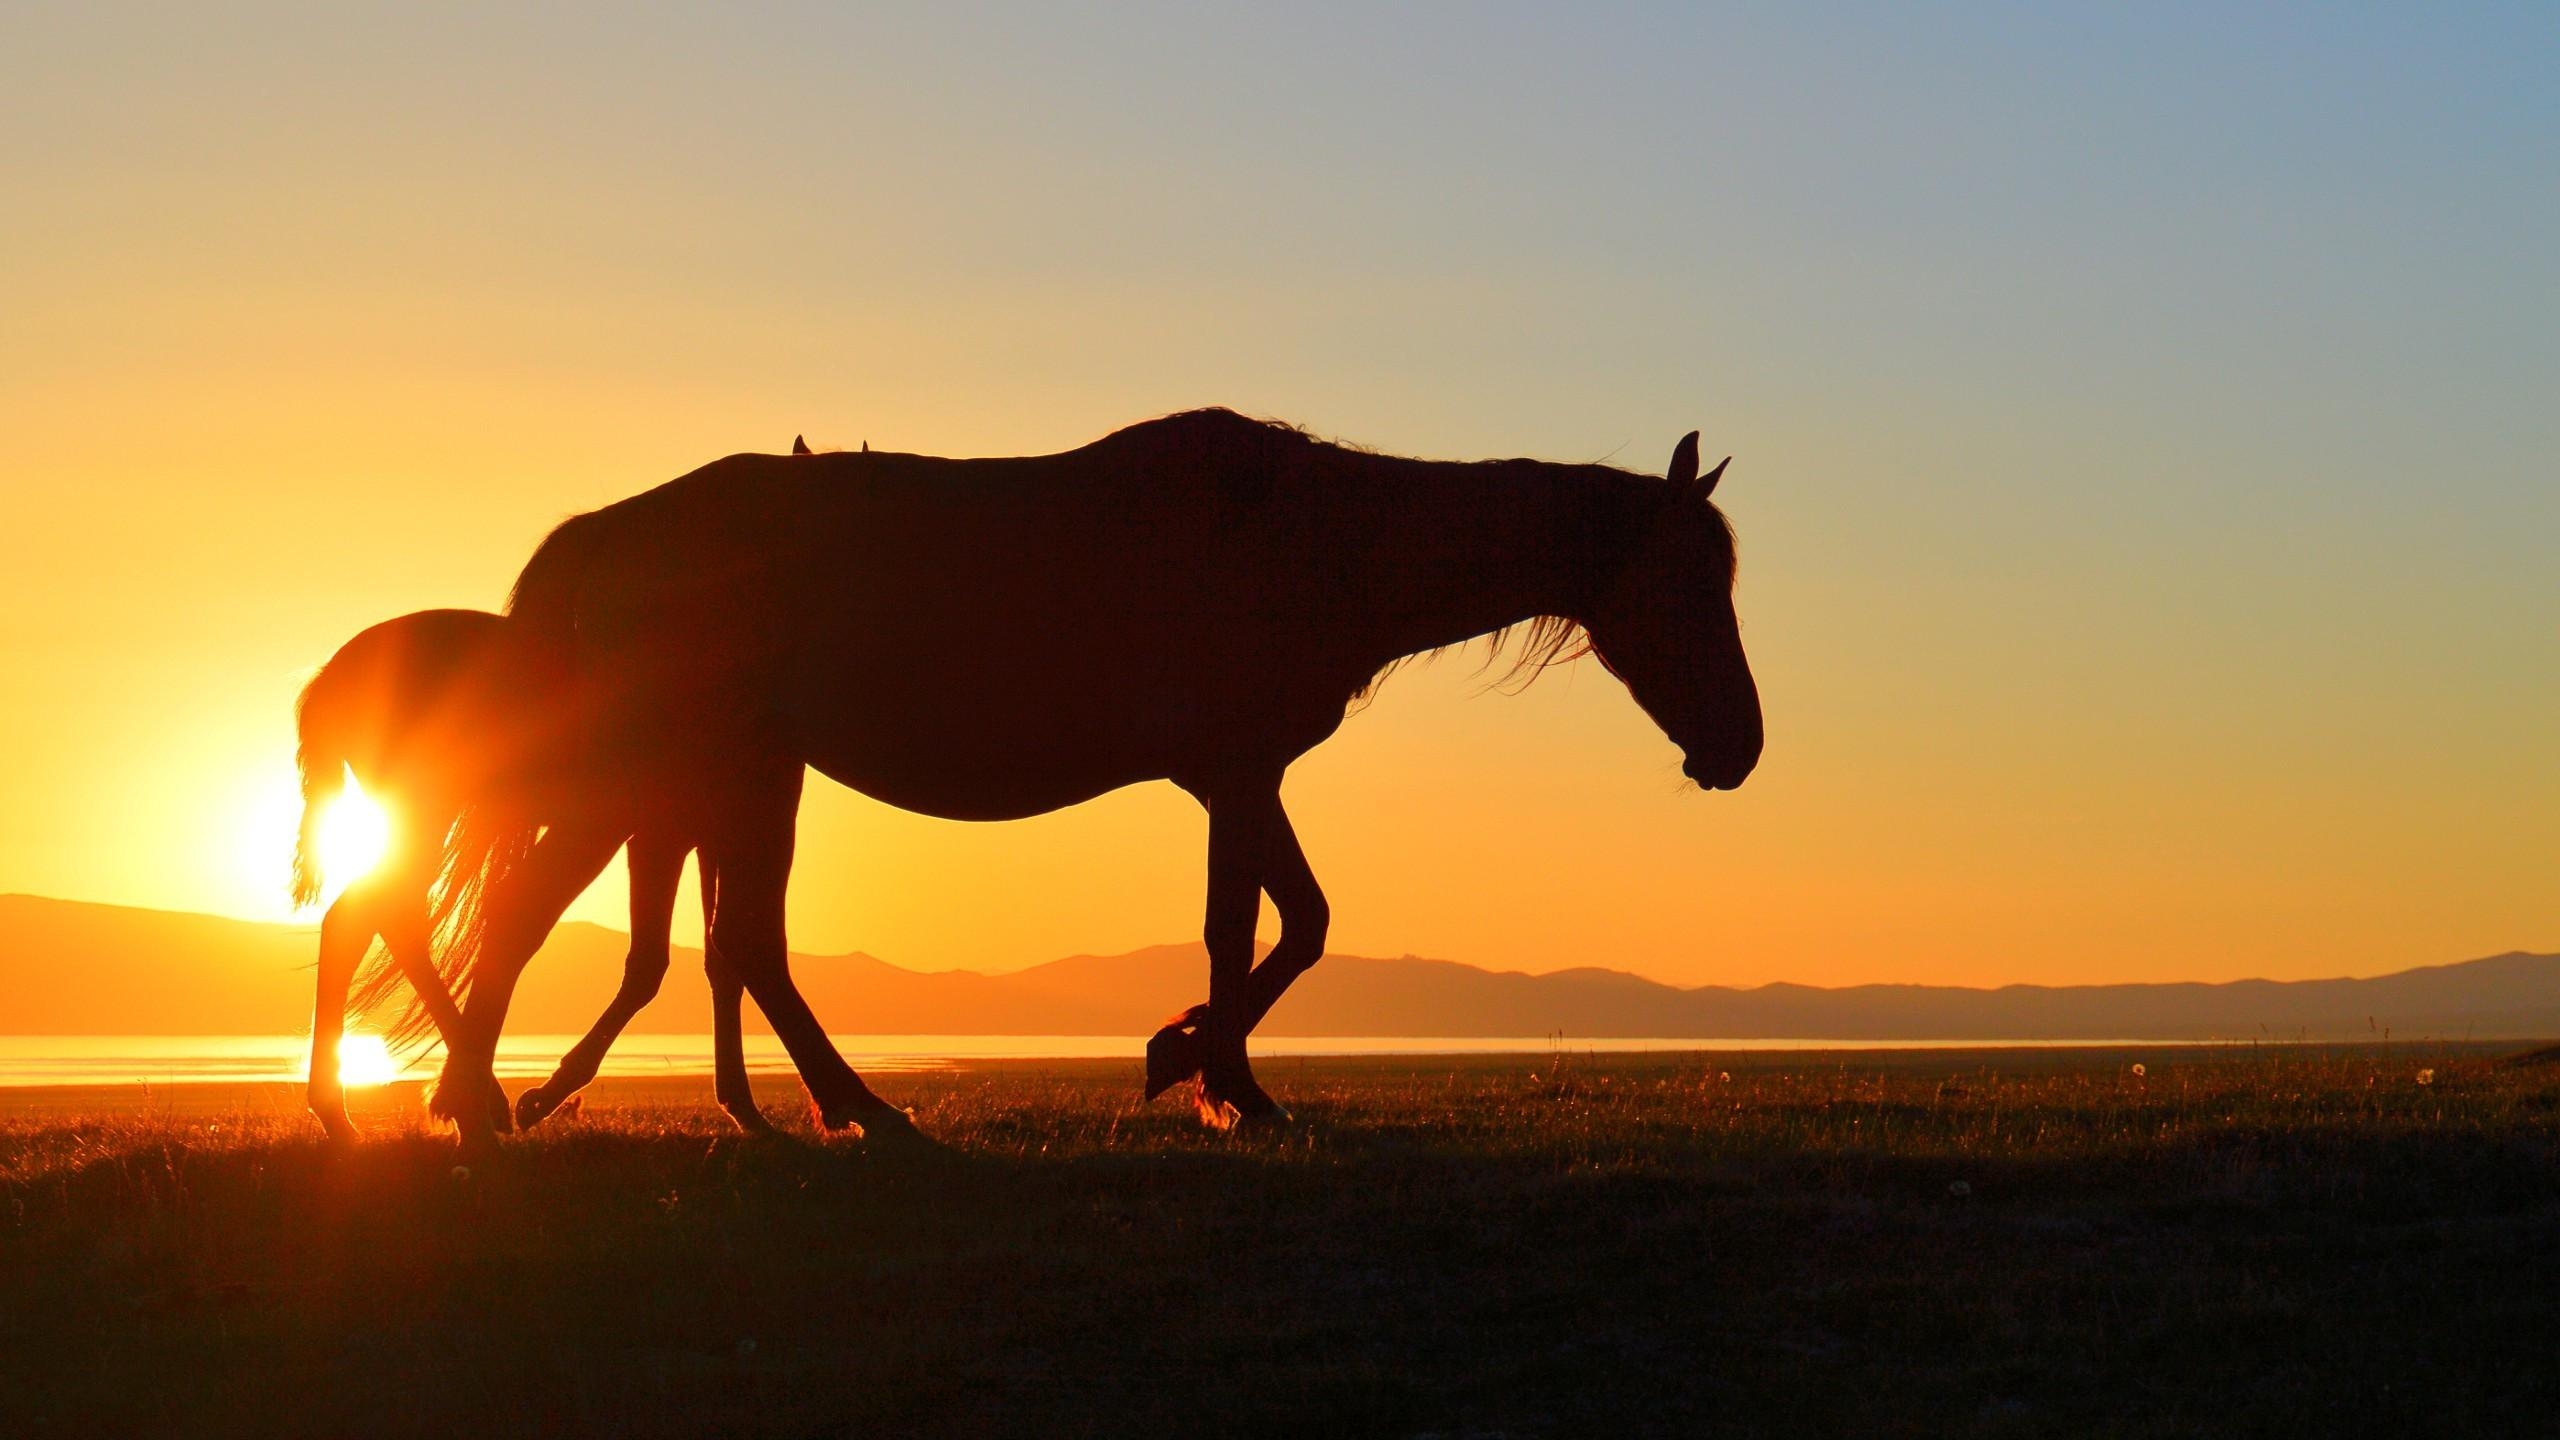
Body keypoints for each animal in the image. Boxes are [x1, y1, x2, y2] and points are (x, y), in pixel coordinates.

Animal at [293, 602, 778, 1132]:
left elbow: (718, 959)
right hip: (425, 809)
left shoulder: (703, 831)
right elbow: (652, 963)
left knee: (371, 917)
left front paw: (745, 1108)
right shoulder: (659, 830)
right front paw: (546, 1095)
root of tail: (331, 676)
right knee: (373, 914)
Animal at [435, 409, 1761, 1137]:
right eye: (1693, 583)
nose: (1738, 749)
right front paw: (1214, 1077)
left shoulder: (1240, 776)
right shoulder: (1236, 774)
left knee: (720, 943)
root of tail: (611, 532)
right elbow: (1256, 928)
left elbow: (1286, 923)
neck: (1310, 542)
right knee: (581, 917)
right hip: (684, 770)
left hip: (736, 770)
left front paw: (1199, 1063)